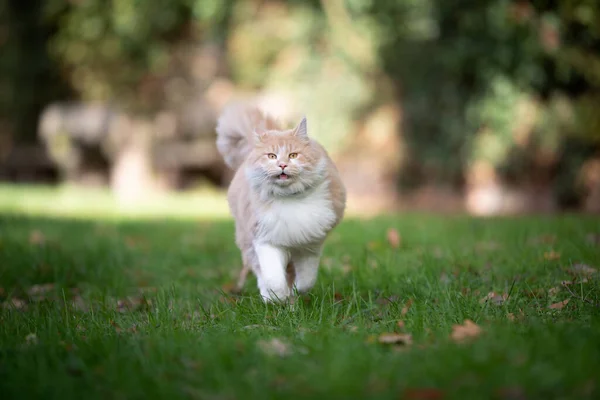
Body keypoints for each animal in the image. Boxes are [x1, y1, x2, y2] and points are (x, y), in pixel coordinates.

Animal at [216, 101, 346, 302]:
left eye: (293, 155)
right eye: (271, 156)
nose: (282, 165)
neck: (288, 198)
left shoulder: (309, 245)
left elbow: (306, 280)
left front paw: (294, 293)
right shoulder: (265, 240)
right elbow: (274, 278)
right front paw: (278, 297)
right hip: (248, 243)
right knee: (260, 273)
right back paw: (268, 298)